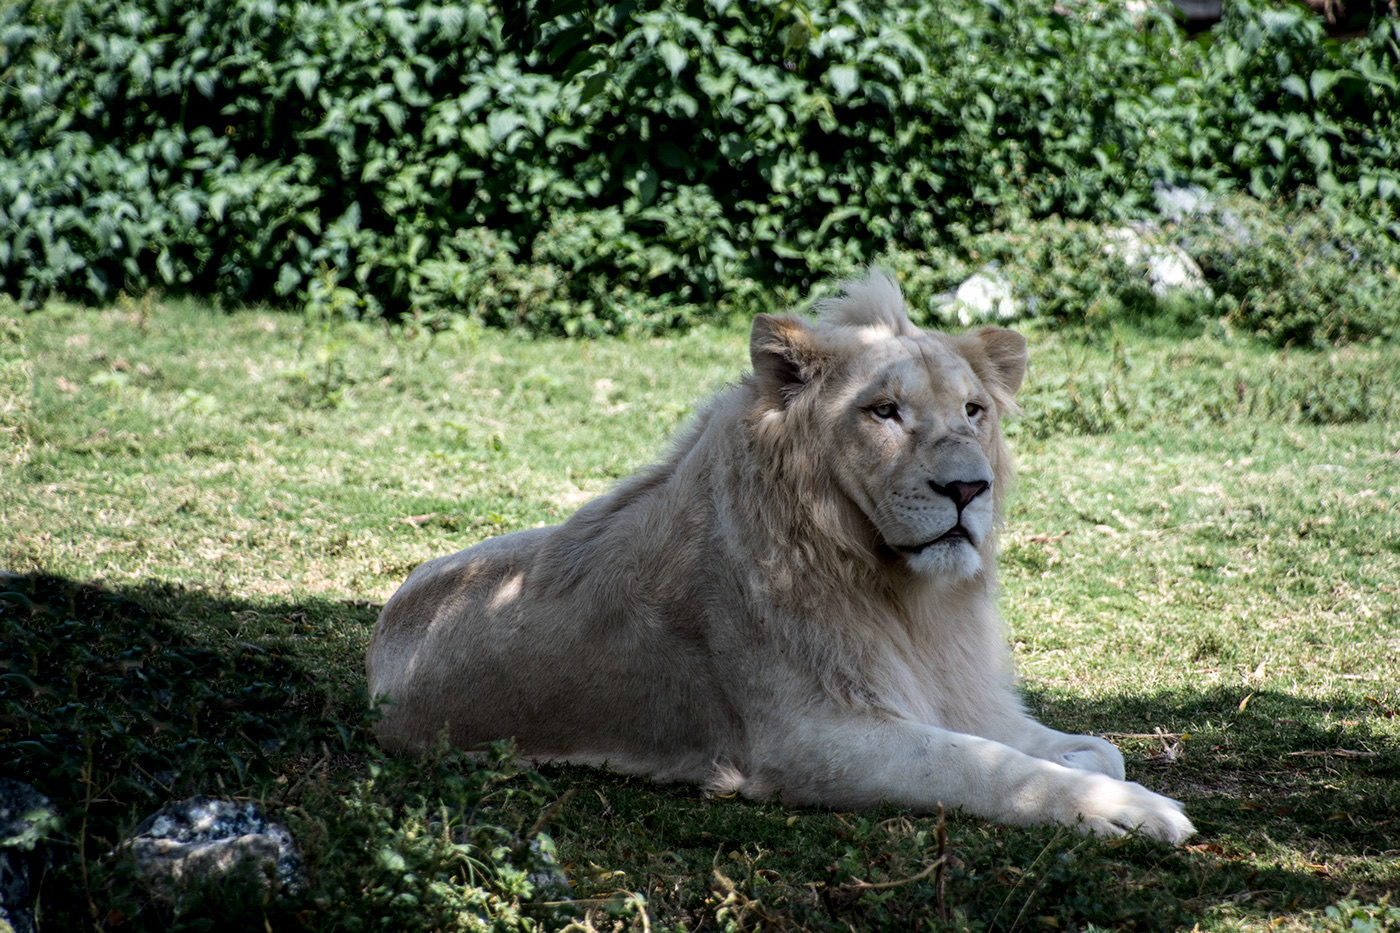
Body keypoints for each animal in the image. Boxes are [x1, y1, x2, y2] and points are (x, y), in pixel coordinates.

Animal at [366, 269, 1194, 843]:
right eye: (884, 411)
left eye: (973, 410)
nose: (968, 487)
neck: (906, 597)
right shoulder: (809, 738)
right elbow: (982, 766)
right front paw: (1133, 813)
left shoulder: (952, 693)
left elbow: (1095, 749)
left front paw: (1093, 770)